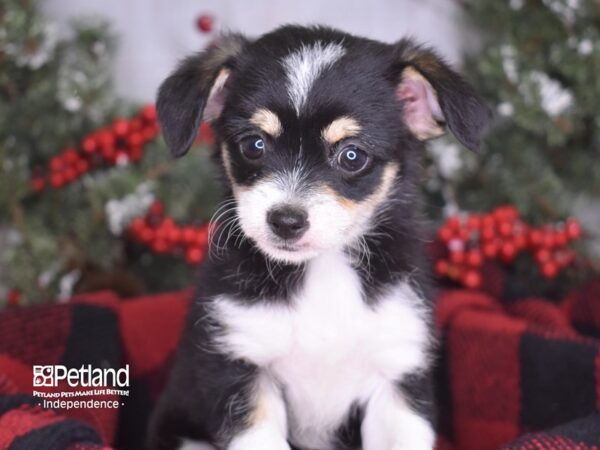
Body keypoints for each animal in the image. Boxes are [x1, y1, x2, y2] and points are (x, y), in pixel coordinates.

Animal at [148, 25, 490, 450]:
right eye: (254, 144)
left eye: (352, 155)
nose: (285, 220)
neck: (323, 272)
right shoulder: (240, 368)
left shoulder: (396, 375)